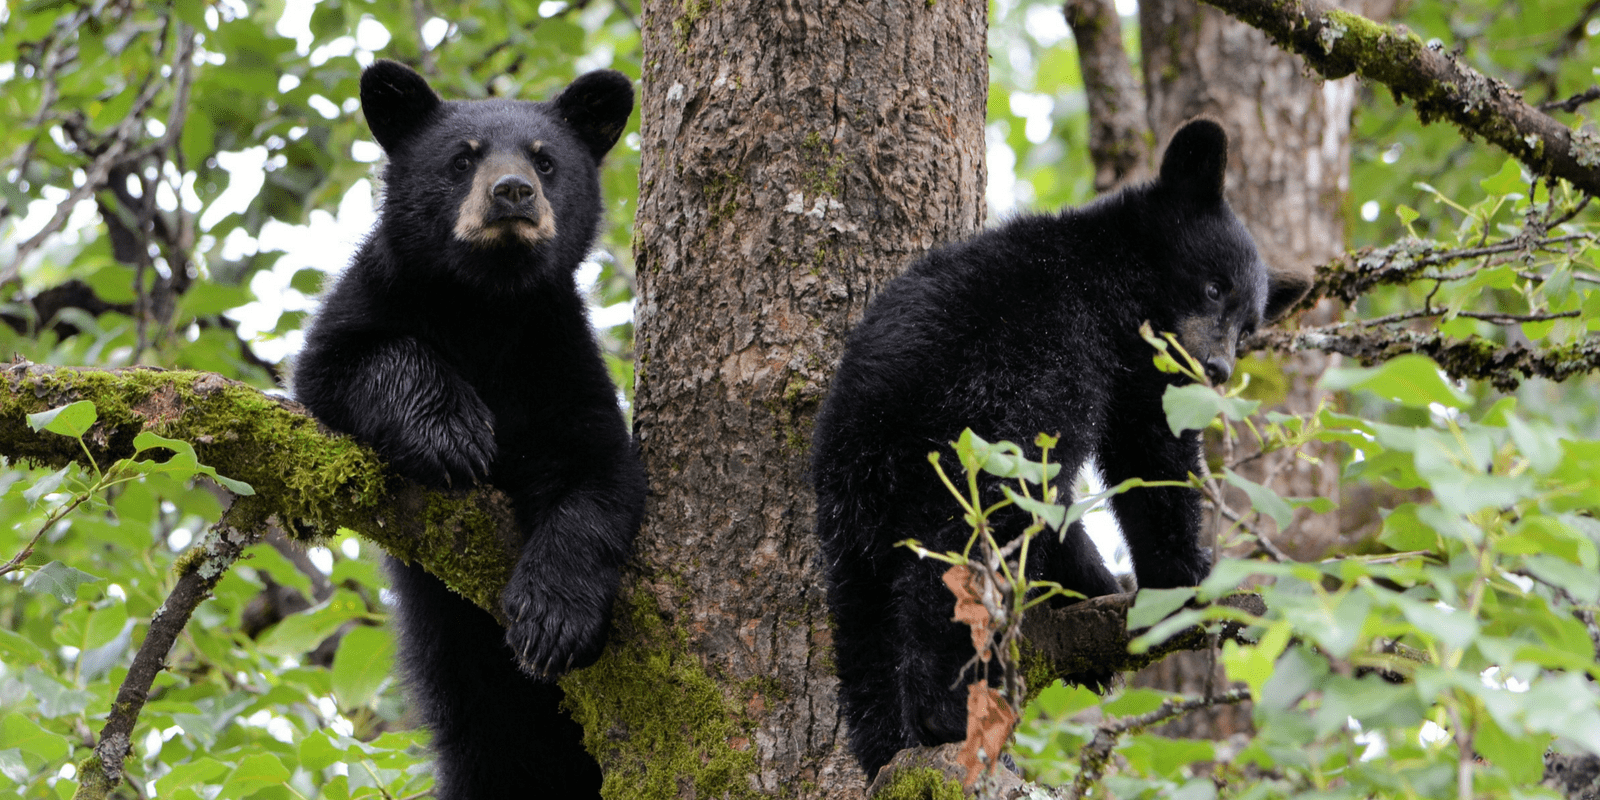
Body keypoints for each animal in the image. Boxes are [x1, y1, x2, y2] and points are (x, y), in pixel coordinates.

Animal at [297, 59, 646, 796]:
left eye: (546, 160)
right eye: (462, 159)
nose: (512, 193)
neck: (487, 304)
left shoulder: (555, 357)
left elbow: (599, 474)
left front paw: (551, 618)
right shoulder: (376, 298)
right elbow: (346, 361)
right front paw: (452, 434)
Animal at [806, 118, 1305, 774]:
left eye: (1249, 329)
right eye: (1213, 286)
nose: (1216, 369)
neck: (1106, 267)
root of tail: (876, 424)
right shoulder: (1104, 356)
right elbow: (1150, 458)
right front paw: (1184, 576)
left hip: (848, 514)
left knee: (864, 623)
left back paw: (886, 745)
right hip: (964, 446)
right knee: (964, 563)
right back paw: (949, 713)